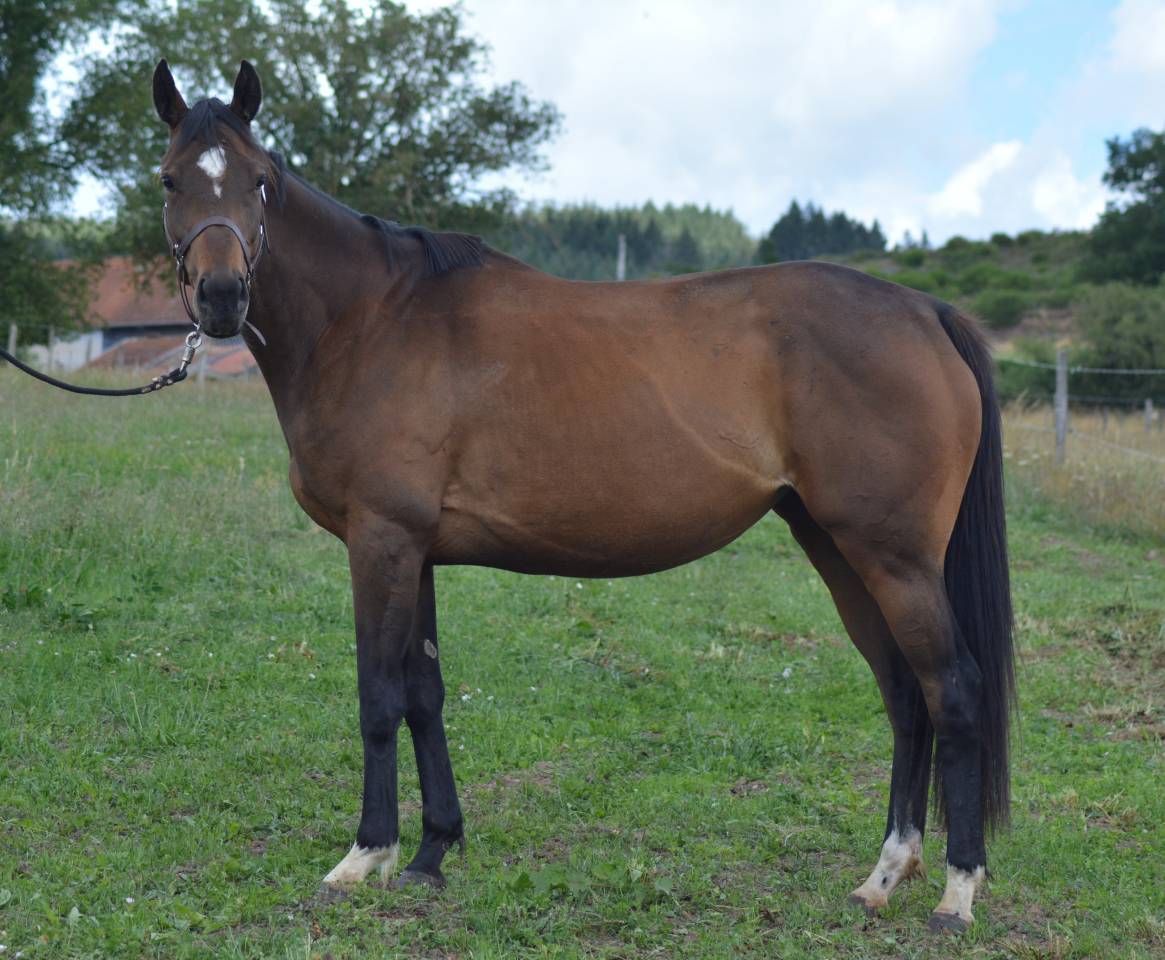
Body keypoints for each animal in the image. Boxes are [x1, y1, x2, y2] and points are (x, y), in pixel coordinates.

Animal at [150, 60, 1014, 933]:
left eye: (259, 181)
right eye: (169, 180)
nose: (221, 295)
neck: (370, 321)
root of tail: (924, 311)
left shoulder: (381, 541)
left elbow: (379, 696)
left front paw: (367, 855)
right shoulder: (414, 550)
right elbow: (425, 695)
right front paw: (432, 852)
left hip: (892, 557)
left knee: (953, 690)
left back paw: (956, 889)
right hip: (837, 547)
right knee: (904, 692)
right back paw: (885, 873)